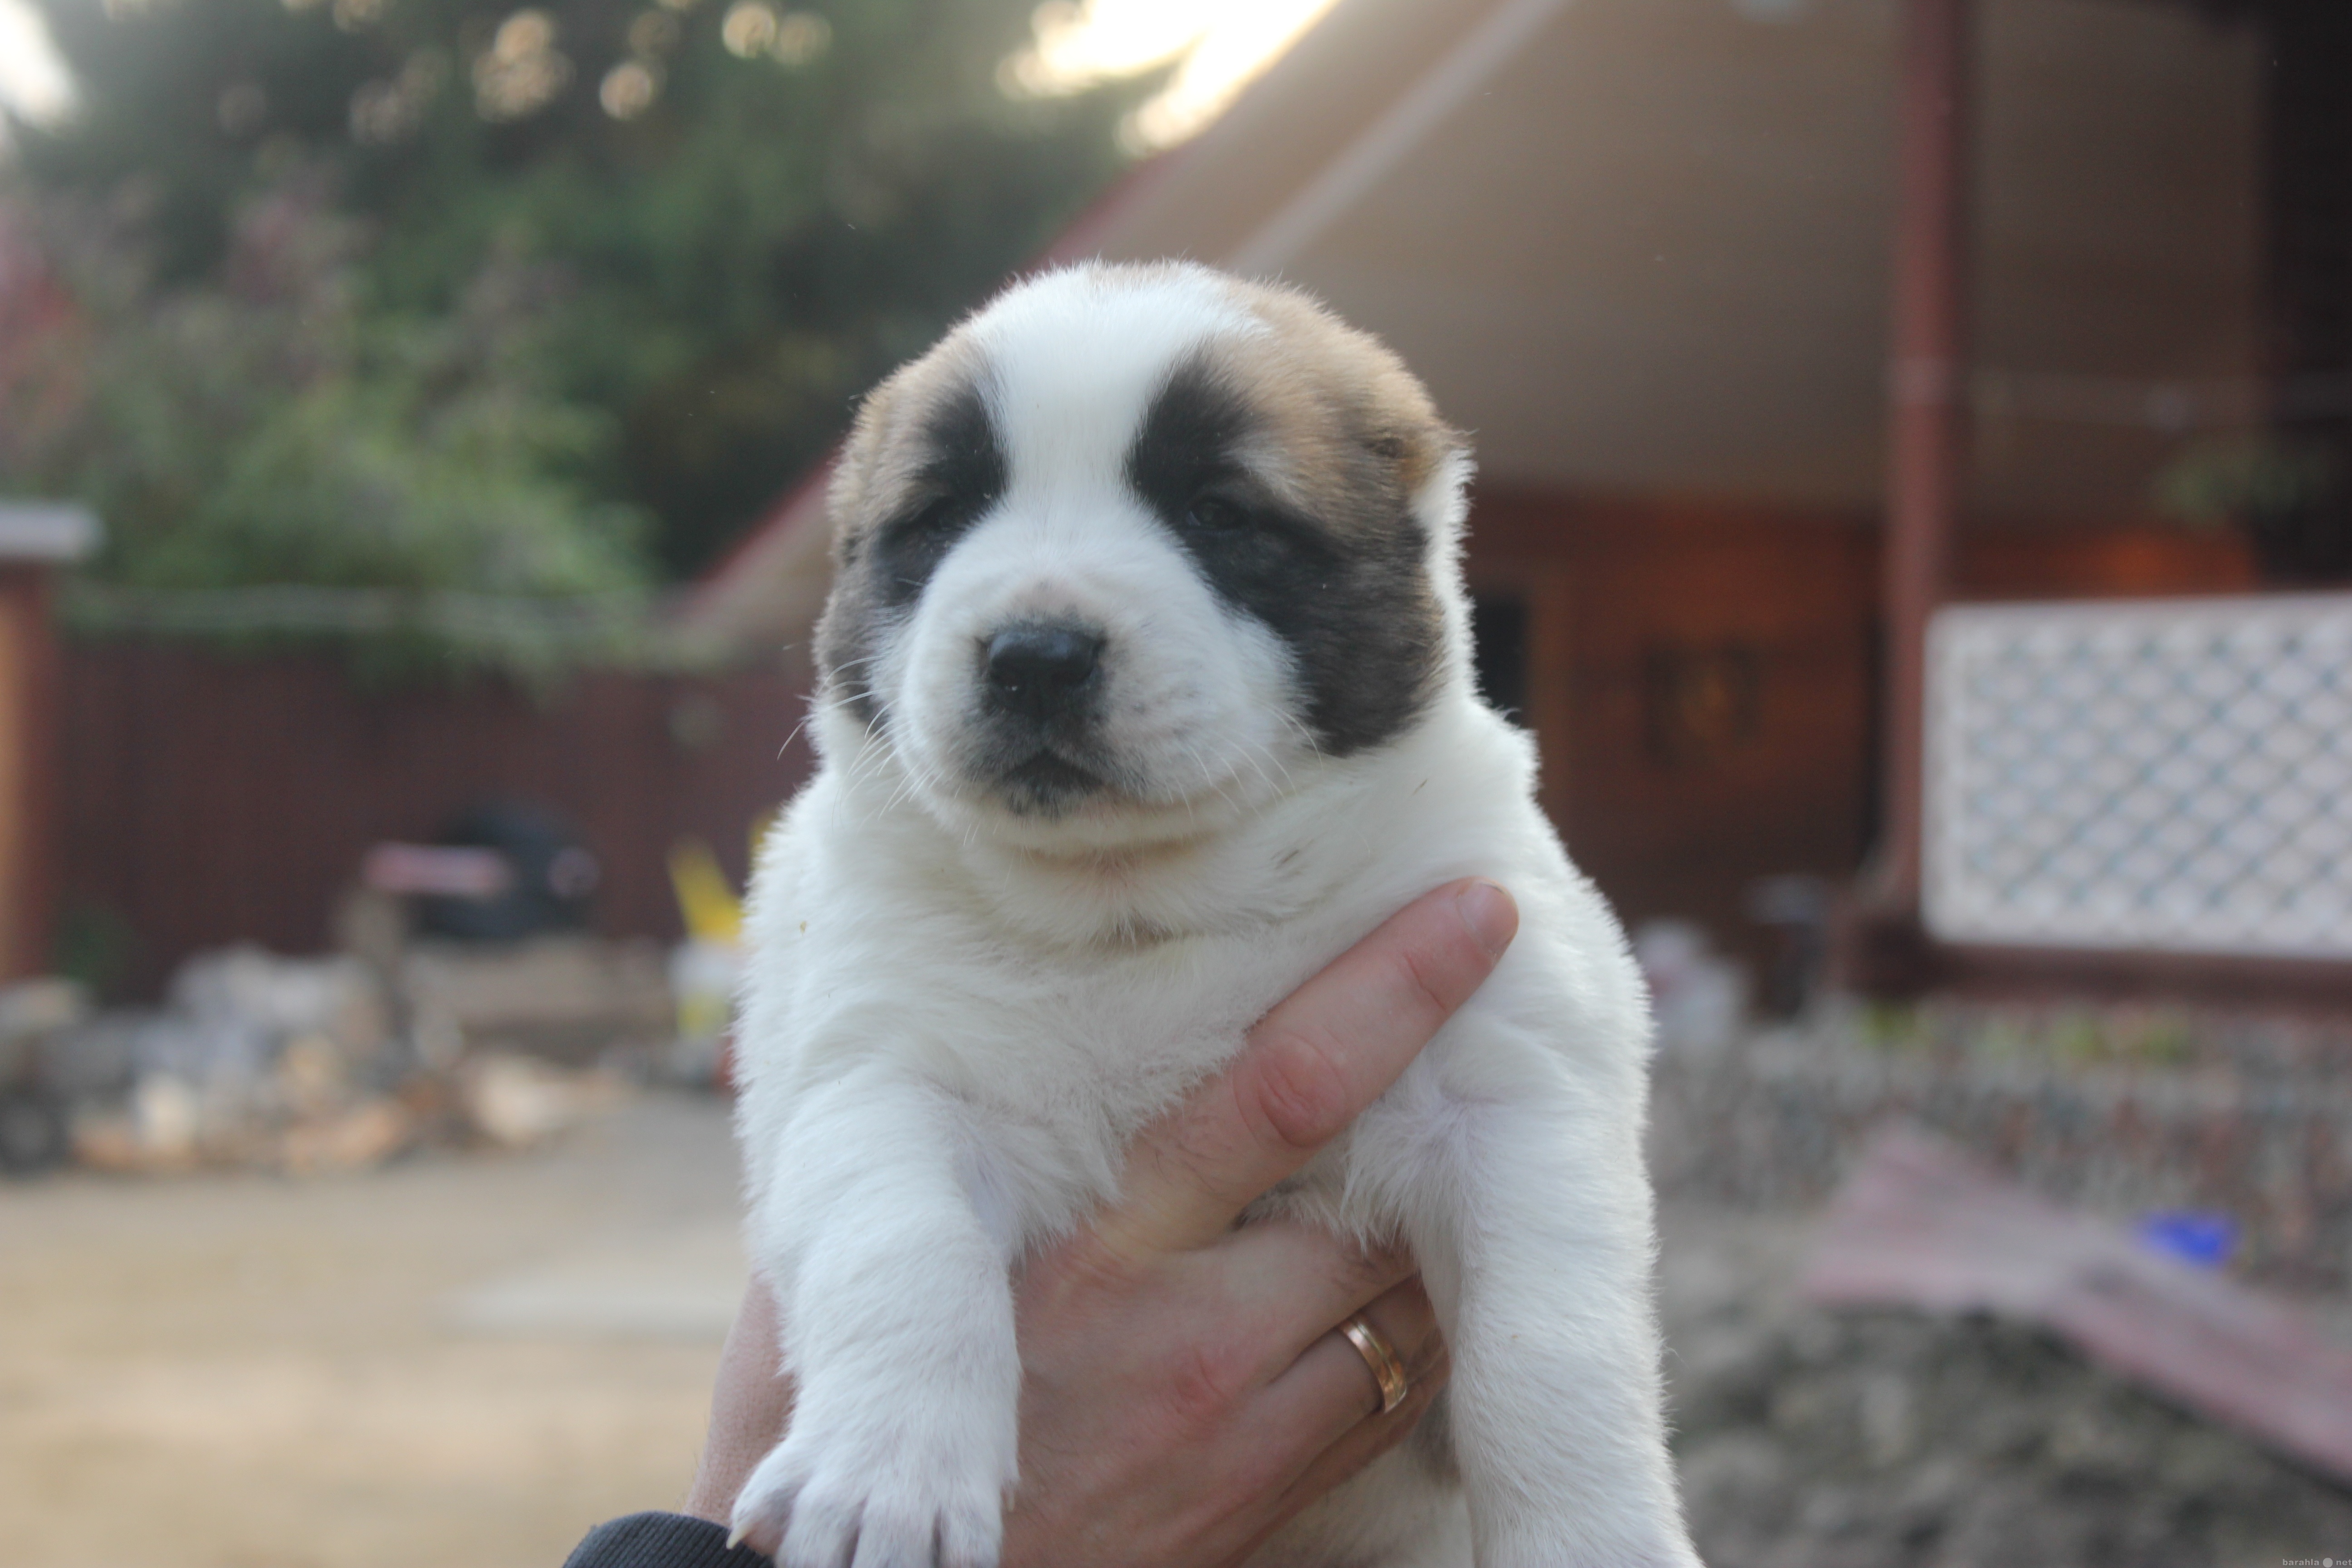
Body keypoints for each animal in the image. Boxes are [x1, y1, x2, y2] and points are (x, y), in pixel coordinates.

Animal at [734, 263, 1693, 1561]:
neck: (1135, 910)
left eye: (1219, 515)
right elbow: (898, 1241)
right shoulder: (876, 1070)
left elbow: (1551, 1347)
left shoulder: (1507, 1087)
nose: (1034, 653)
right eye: (937, 520)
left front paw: (1594, 1536)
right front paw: (883, 1476)